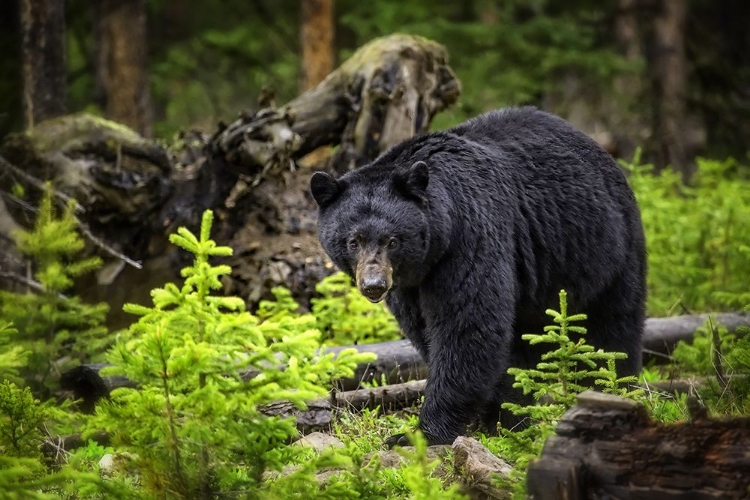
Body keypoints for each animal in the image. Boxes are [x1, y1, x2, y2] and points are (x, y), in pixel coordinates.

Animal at [310, 105, 648, 446]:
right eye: (353, 241)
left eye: (392, 240)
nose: (374, 285)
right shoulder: (409, 284)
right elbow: (428, 330)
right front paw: (500, 417)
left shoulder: (470, 237)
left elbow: (468, 326)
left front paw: (420, 433)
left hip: (606, 249)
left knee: (612, 328)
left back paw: (612, 389)